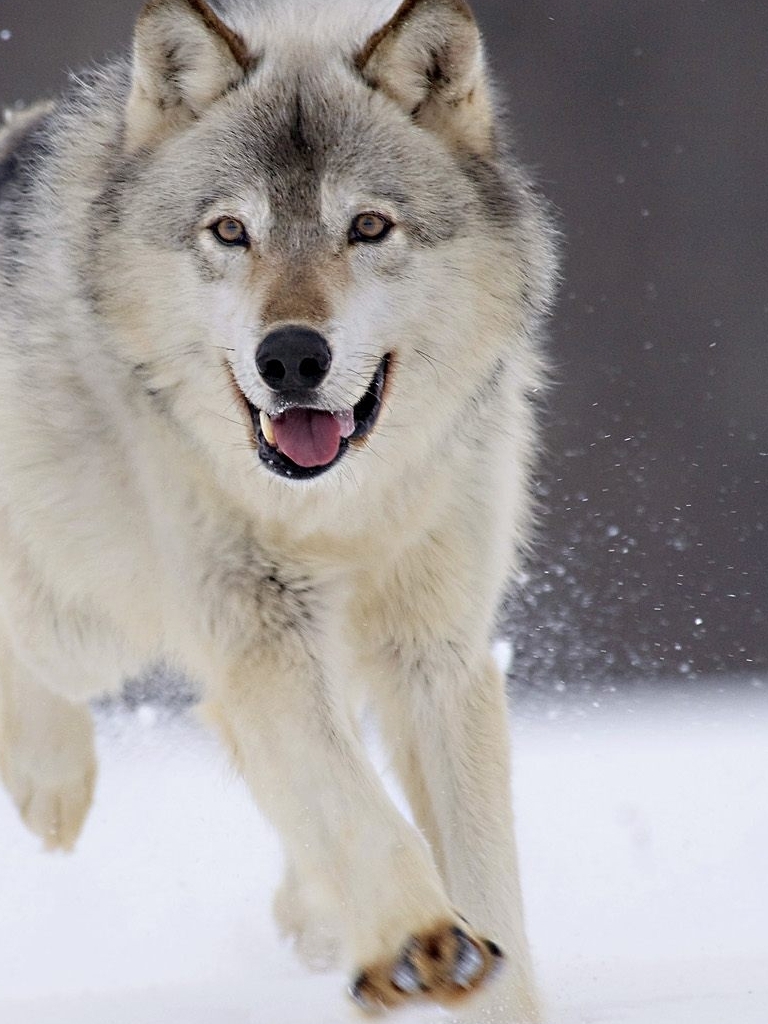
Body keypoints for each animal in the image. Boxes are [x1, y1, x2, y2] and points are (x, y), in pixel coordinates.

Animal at [0, 2, 557, 1015]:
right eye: (230, 230)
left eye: (368, 226)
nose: (291, 356)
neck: (338, 510)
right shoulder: (258, 630)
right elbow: (353, 803)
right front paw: (418, 939)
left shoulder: (436, 652)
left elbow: (483, 872)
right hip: (89, 619)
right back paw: (49, 779)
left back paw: (317, 916)